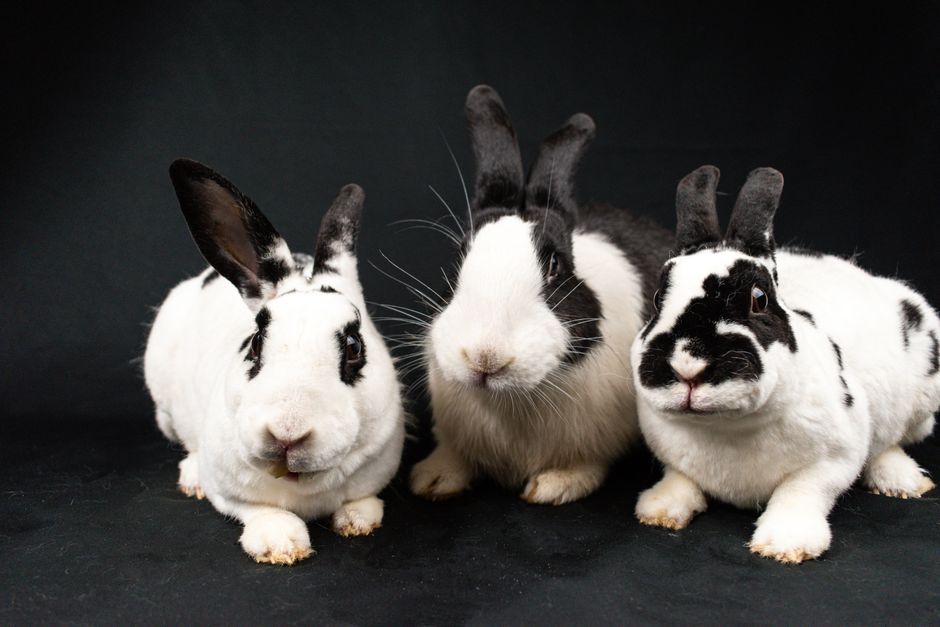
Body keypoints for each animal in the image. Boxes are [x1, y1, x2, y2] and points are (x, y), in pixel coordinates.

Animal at [144, 159, 405, 565]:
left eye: (354, 347)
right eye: (254, 343)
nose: (286, 434)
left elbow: (362, 500)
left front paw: (358, 521)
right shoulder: (229, 491)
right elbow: (259, 510)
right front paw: (280, 544)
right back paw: (191, 477)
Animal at [410, 85, 673, 505]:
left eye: (555, 266)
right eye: (459, 256)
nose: (485, 357)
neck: (510, 400)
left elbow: (584, 465)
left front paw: (553, 486)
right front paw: (432, 479)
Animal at [631, 165, 939, 563]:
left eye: (759, 299)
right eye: (657, 300)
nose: (687, 366)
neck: (726, 427)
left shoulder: (835, 459)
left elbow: (800, 492)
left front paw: (786, 544)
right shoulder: (672, 456)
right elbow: (680, 479)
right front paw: (659, 510)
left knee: (892, 442)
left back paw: (904, 481)